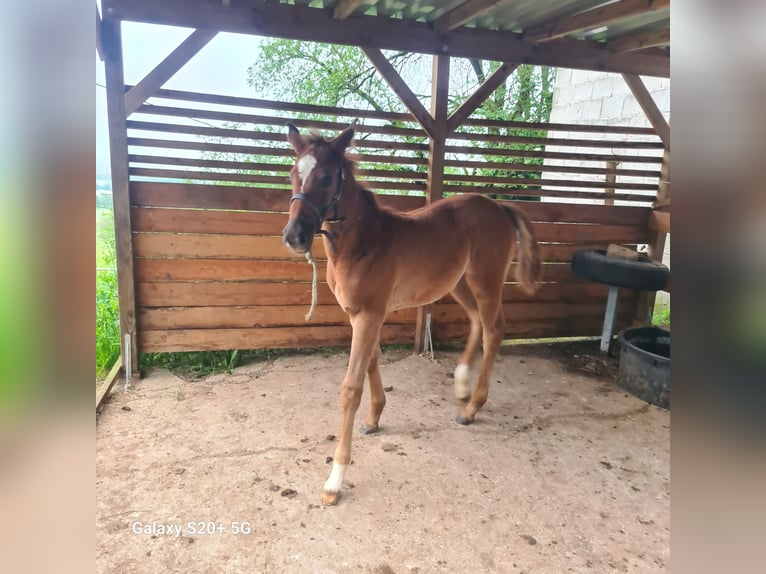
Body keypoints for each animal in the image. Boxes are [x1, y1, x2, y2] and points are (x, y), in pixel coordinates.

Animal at [284, 124, 544, 506]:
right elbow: (373, 361)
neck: (363, 242)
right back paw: (462, 385)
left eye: (328, 177)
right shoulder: (362, 314)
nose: (294, 236)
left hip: (485, 281)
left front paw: (334, 480)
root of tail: (498, 205)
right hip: (458, 282)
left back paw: (472, 407)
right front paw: (374, 418)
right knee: (477, 322)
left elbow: (351, 387)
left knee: (494, 329)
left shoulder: (369, 315)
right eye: (293, 174)